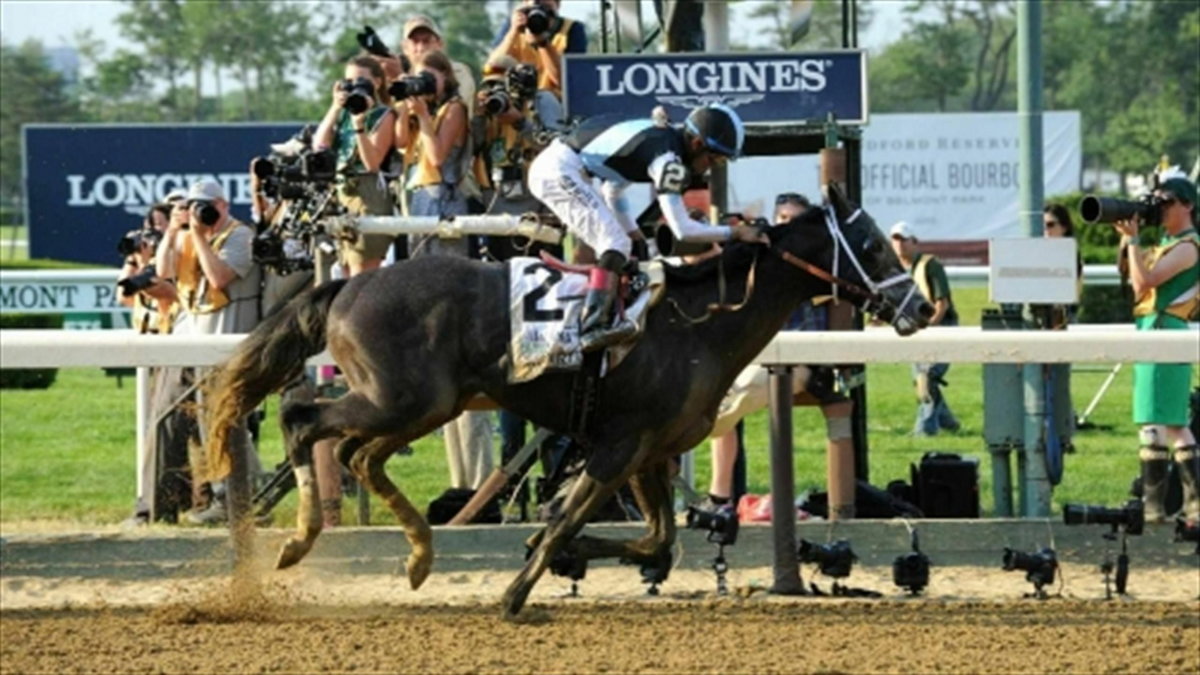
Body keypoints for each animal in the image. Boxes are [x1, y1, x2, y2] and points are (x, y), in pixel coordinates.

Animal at [206, 183, 926, 614]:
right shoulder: (617, 446)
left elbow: (657, 542)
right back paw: (299, 541)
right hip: (403, 398)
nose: (922, 309)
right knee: (304, 419)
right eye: (868, 244)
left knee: (357, 454)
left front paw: (557, 553)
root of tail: (345, 287)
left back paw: (417, 554)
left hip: (426, 404)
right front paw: (516, 590)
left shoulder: (648, 451)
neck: (699, 323)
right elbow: (567, 521)